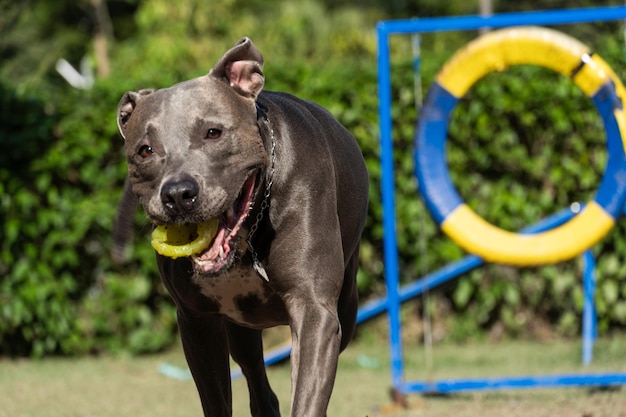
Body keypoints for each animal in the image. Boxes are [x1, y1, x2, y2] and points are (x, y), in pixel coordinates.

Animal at [115, 36, 368, 416]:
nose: (178, 194)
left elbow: (307, 396)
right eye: (145, 150)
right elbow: (216, 399)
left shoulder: (314, 310)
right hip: (242, 326)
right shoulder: (196, 321)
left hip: (346, 311)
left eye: (213, 132)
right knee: (258, 383)